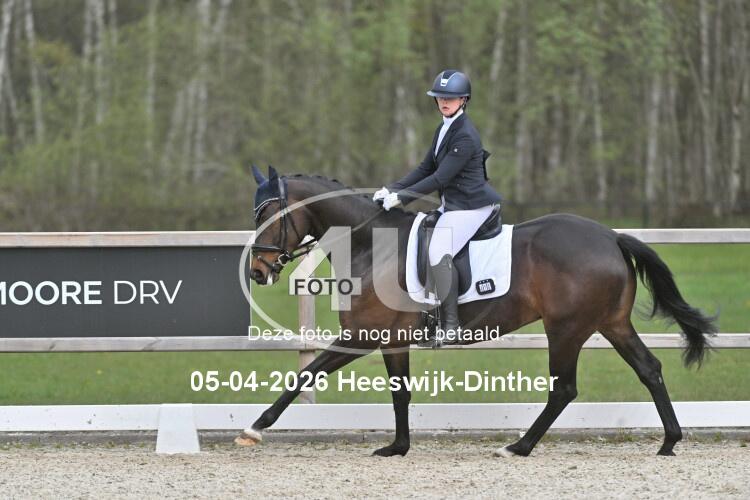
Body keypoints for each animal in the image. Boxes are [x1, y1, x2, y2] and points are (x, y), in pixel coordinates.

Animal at [237, 166, 717, 457]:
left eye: (269, 215)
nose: (257, 271)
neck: (370, 245)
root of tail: (610, 236)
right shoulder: (391, 342)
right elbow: (399, 393)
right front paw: (398, 447)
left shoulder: (361, 336)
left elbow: (304, 375)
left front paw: (255, 428)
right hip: (612, 324)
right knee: (649, 369)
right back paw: (669, 442)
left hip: (566, 329)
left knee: (564, 389)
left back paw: (518, 447)